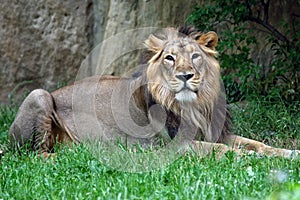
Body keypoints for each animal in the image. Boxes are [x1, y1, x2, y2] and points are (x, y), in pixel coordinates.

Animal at [8, 26, 298, 159]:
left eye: (195, 56)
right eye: (170, 58)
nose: (185, 76)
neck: (195, 106)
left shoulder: (219, 132)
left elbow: (256, 143)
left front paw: (288, 153)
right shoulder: (177, 145)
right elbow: (222, 150)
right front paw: (249, 158)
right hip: (39, 95)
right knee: (35, 155)